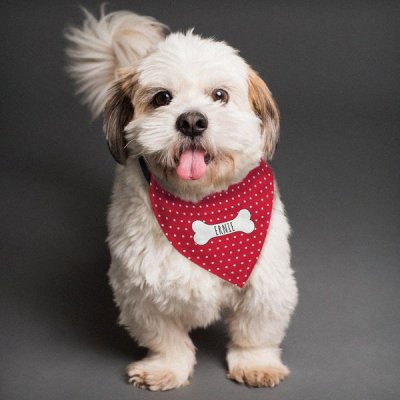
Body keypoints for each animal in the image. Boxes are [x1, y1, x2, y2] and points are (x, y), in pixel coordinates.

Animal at [65, 8, 296, 390]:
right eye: (162, 98)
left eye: (219, 94)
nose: (191, 120)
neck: (201, 205)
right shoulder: (140, 290)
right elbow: (166, 338)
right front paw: (165, 368)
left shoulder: (265, 283)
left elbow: (255, 331)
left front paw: (256, 363)